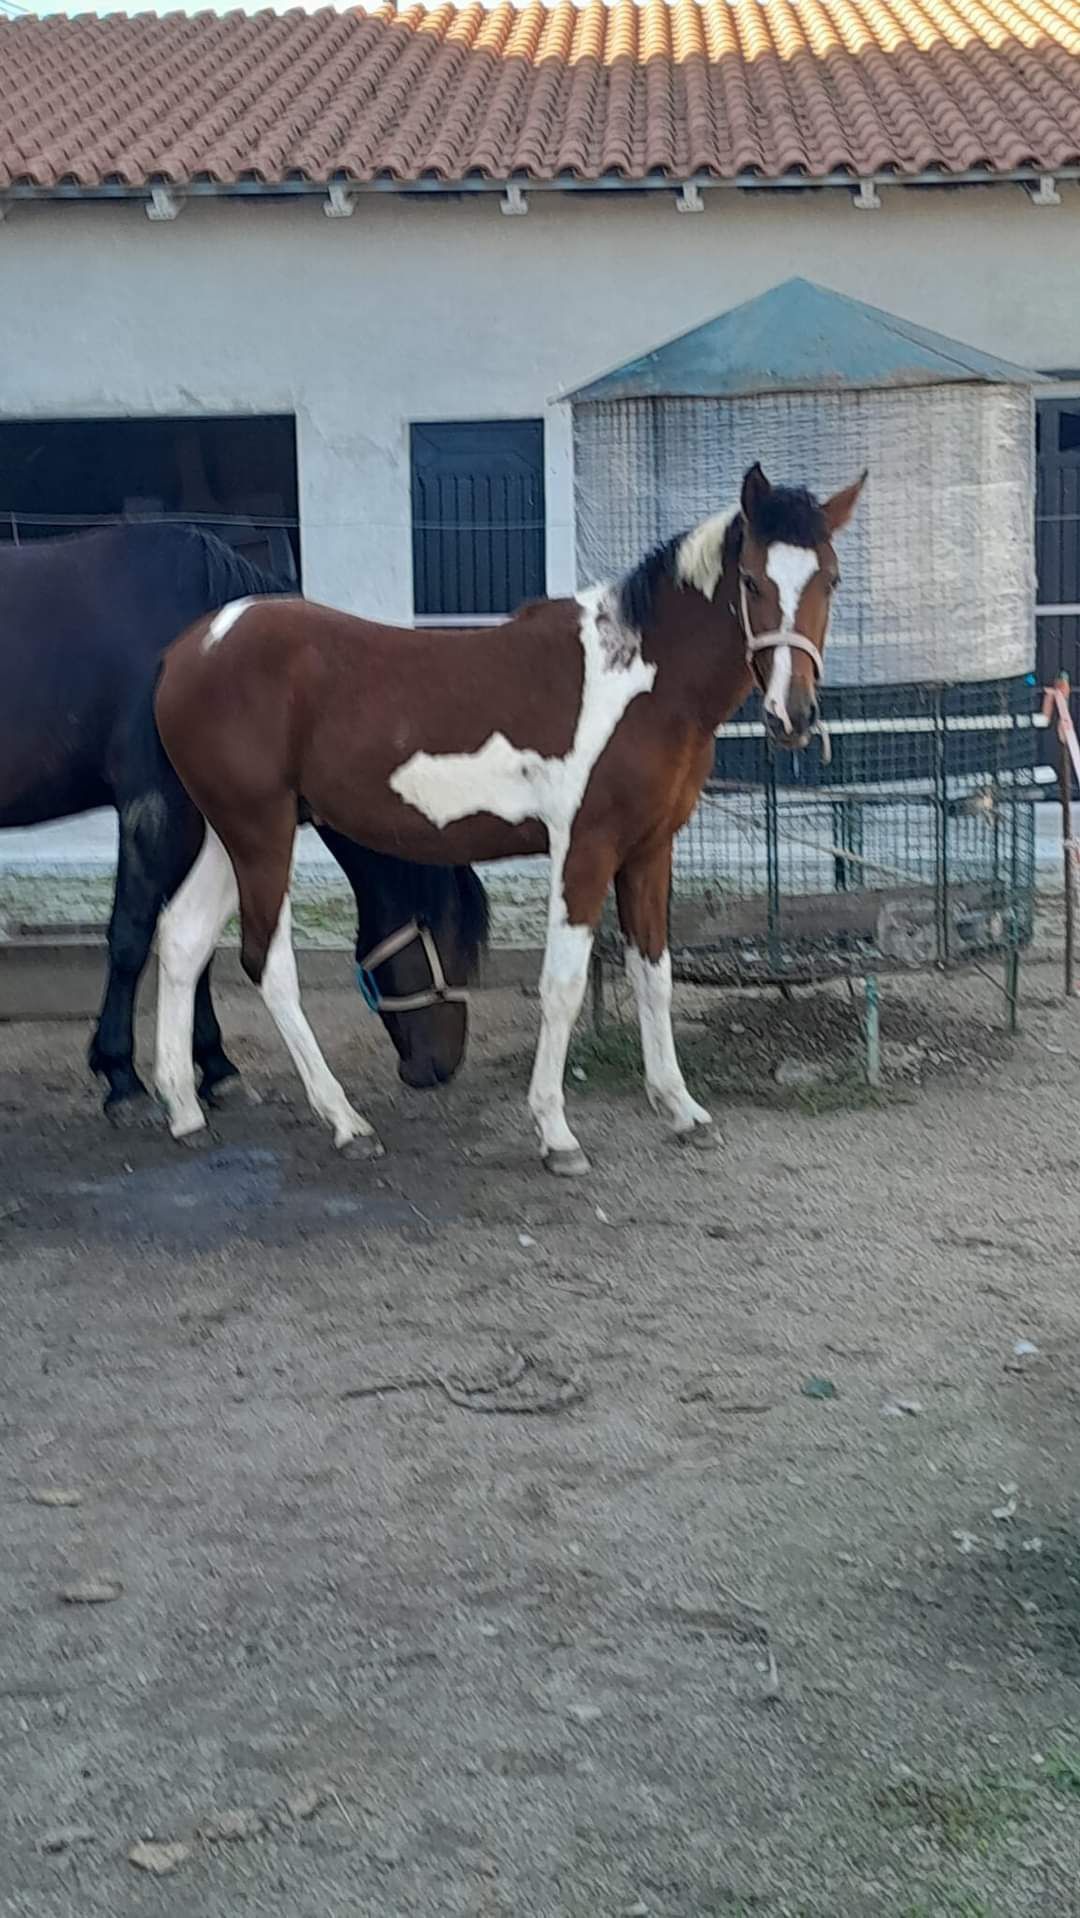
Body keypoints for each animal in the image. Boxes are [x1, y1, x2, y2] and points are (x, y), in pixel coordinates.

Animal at [0, 529, 485, 1120]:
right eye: (452, 939)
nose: (440, 1068)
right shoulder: (156, 808)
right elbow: (132, 936)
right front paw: (122, 1077)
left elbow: (196, 944)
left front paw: (216, 1067)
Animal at [152, 467, 867, 1181]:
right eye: (751, 580)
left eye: (831, 579)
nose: (792, 715)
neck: (639, 680)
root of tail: (189, 648)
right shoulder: (585, 849)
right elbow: (563, 986)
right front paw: (556, 1133)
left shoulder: (649, 850)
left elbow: (654, 974)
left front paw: (682, 1109)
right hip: (262, 834)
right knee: (267, 964)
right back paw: (346, 1123)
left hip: (232, 835)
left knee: (182, 937)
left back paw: (185, 1111)